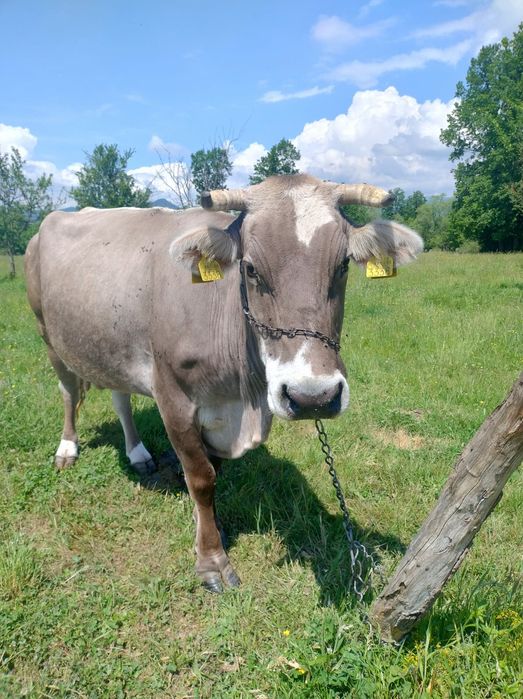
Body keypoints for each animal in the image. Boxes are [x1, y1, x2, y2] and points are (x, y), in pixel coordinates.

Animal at [25, 174, 423, 592]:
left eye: (343, 265)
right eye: (250, 268)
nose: (313, 397)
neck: (241, 400)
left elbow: (214, 472)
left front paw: (210, 526)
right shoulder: (173, 398)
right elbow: (201, 478)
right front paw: (211, 560)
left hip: (110, 342)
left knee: (120, 397)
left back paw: (138, 453)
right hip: (48, 335)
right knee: (68, 392)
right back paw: (67, 448)